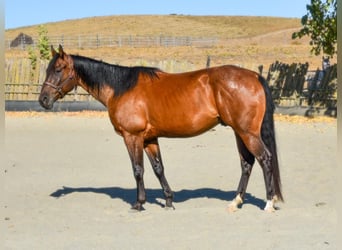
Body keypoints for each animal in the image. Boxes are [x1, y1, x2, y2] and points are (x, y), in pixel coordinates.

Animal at [38, 45, 282, 213]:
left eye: (58, 69)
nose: (43, 100)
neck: (121, 88)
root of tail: (254, 76)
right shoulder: (149, 139)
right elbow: (158, 169)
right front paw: (168, 201)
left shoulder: (132, 137)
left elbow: (138, 169)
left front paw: (139, 203)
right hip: (239, 132)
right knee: (247, 164)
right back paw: (235, 201)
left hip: (247, 133)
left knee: (265, 159)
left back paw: (269, 203)